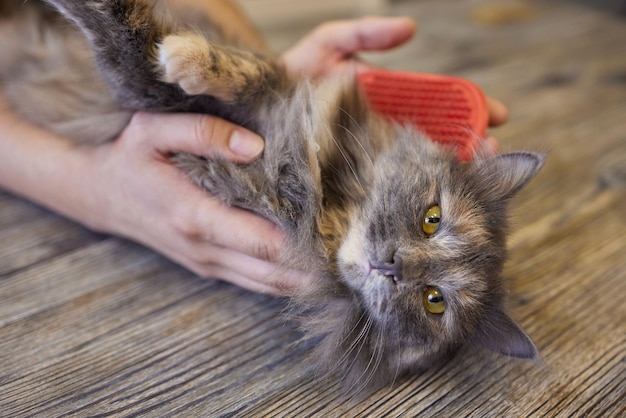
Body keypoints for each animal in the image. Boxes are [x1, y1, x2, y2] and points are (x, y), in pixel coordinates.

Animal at [0, 0, 540, 394]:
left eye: (434, 301)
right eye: (432, 218)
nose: (389, 264)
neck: (325, 208)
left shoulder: (149, 100)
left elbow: (125, 34)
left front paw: (173, 54)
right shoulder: (267, 95)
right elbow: (247, 69)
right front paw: (191, 57)